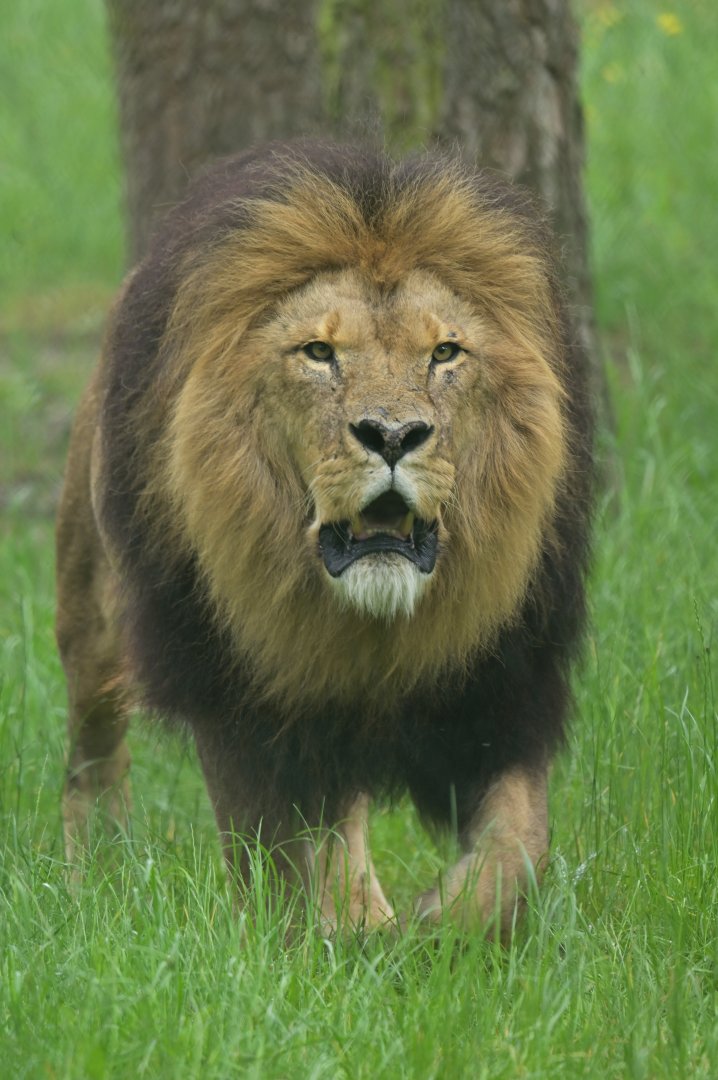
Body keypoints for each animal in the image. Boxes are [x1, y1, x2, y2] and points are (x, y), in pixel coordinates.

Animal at [56, 143, 593, 936]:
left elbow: (521, 846)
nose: (393, 435)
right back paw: (94, 868)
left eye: (445, 353)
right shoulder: (241, 696)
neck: (369, 626)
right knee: (92, 747)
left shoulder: (501, 690)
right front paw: (327, 938)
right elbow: (281, 850)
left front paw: (439, 925)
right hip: (91, 609)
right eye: (317, 352)